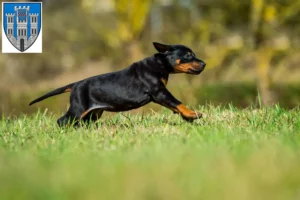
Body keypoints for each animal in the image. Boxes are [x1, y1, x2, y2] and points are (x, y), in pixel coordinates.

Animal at [28, 42, 206, 126]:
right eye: (188, 55)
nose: (204, 64)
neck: (159, 64)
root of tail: (76, 84)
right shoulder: (159, 92)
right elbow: (177, 102)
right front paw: (193, 114)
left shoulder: (160, 94)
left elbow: (174, 106)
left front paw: (187, 117)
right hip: (78, 108)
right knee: (63, 121)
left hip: (93, 112)